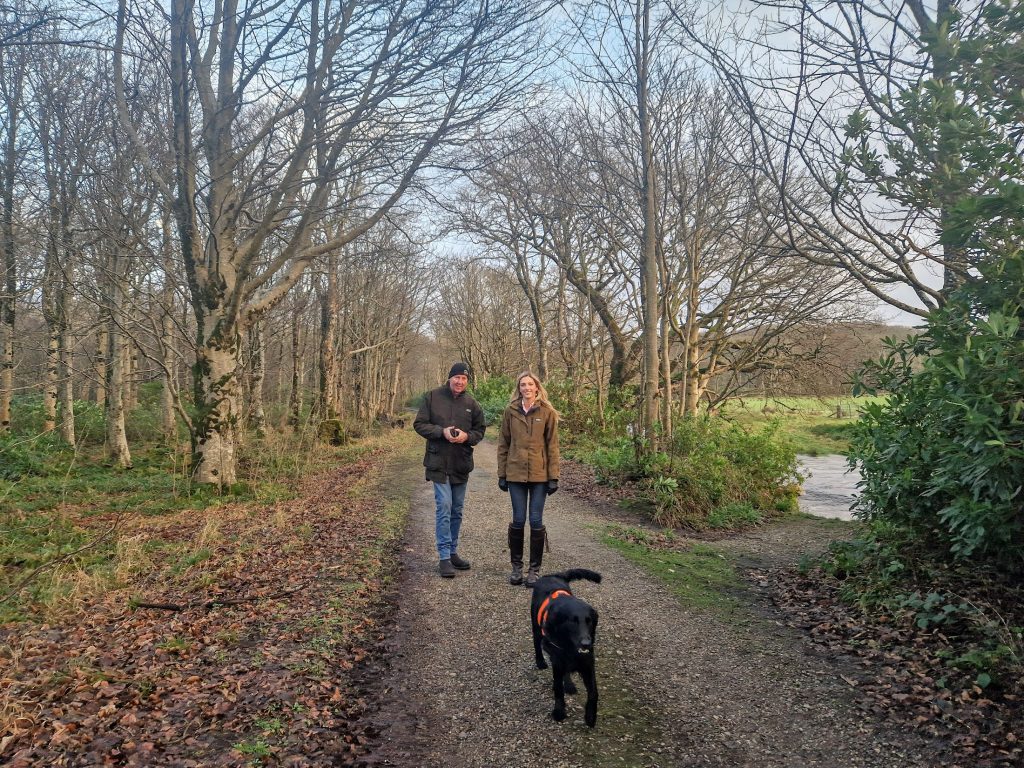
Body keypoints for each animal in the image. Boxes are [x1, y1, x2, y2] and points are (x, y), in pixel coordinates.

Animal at [532, 573, 602, 729]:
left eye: (589, 621)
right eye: (573, 621)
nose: (586, 643)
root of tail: (553, 575)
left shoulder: (588, 664)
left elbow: (594, 692)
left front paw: (590, 716)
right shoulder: (557, 661)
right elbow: (558, 689)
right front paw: (559, 712)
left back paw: (569, 685)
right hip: (536, 627)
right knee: (537, 644)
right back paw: (540, 662)